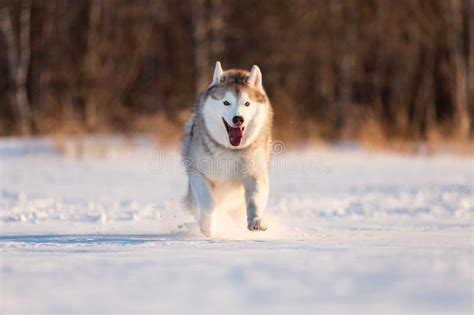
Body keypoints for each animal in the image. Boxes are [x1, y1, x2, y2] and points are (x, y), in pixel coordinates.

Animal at [181, 61, 272, 237]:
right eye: (226, 102)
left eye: (247, 103)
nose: (238, 119)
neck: (230, 151)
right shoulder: (197, 172)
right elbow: (209, 202)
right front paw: (207, 227)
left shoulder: (255, 174)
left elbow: (255, 199)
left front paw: (256, 221)